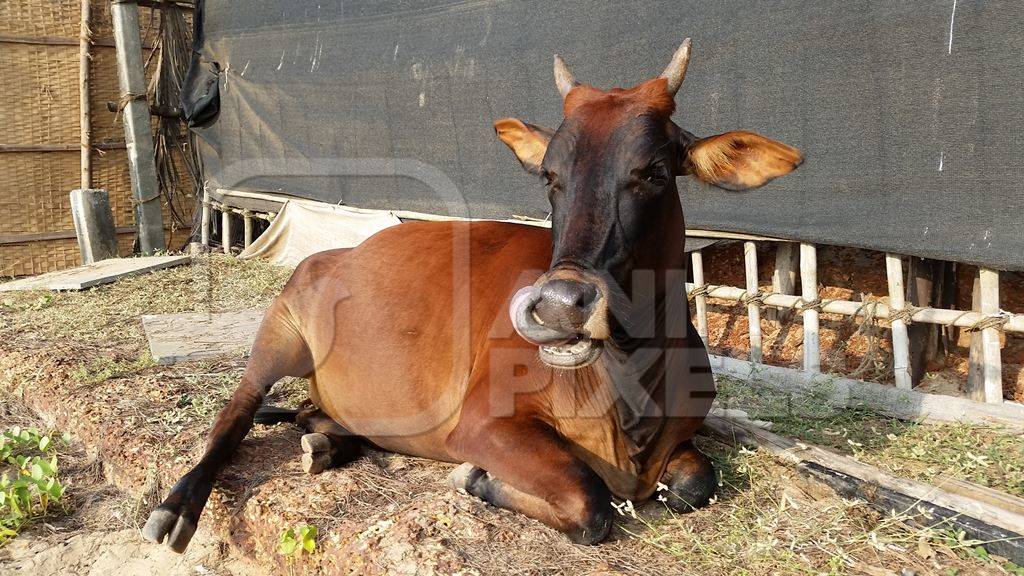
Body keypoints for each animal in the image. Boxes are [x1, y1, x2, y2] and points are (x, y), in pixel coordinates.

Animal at [144, 38, 798, 549]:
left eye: (655, 172)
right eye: (550, 176)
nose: (560, 306)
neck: (631, 392)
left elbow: (695, 484)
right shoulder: (483, 422)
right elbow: (590, 503)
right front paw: (479, 479)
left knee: (312, 414)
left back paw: (326, 444)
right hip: (278, 333)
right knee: (234, 413)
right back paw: (177, 506)